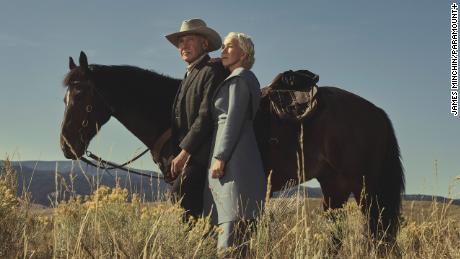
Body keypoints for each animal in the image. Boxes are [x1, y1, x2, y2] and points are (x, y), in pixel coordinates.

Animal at [60, 51, 402, 243]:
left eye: (79, 94)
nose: (66, 145)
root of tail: (377, 113)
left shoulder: (188, 190)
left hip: (366, 188)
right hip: (334, 187)